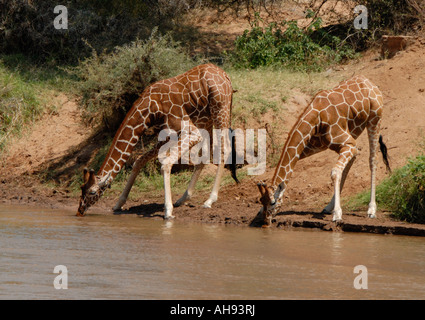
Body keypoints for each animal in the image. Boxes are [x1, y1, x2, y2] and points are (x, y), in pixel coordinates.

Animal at [76, 63, 238, 219]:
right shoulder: (168, 134)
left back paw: (210, 200)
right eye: (81, 188)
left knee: (224, 149)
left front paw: (168, 211)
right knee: (205, 155)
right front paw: (118, 204)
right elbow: (139, 160)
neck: (149, 109)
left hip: (220, 109)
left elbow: (165, 164)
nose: (80, 211)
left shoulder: (191, 131)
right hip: (207, 119)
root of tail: (227, 77)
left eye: (92, 192)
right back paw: (183, 198)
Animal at [255, 74, 390, 228]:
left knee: (372, 160)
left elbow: (335, 172)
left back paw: (371, 210)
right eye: (261, 200)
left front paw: (337, 215)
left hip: (374, 119)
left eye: (273, 202)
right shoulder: (312, 147)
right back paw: (328, 207)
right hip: (353, 132)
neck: (315, 118)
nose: (266, 222)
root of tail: (369, 82)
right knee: (353, 158)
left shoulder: (348, 142)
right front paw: (259, 212)